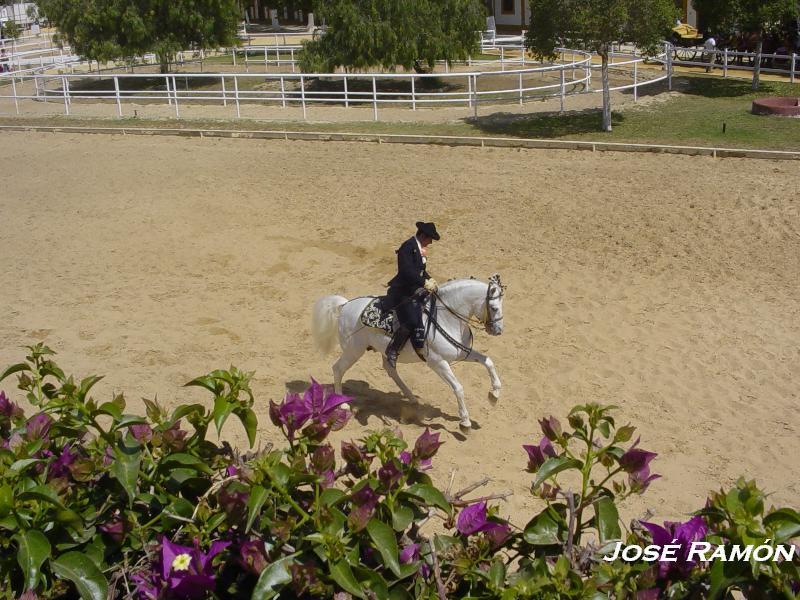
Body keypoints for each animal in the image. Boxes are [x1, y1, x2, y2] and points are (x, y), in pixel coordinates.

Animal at [312, 274, 506, 428]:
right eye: (494, 308)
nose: (498, 331)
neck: (446, 318)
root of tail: (345, 306)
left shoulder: (462, 353)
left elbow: (488, 361)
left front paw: (494, 394)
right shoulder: (438, 362)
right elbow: (458, 387)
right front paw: (465, 421)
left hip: (381, 350)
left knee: (390, 369)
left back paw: (411, 397)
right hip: (353, 350)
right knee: (338, 368)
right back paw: (342, 404)